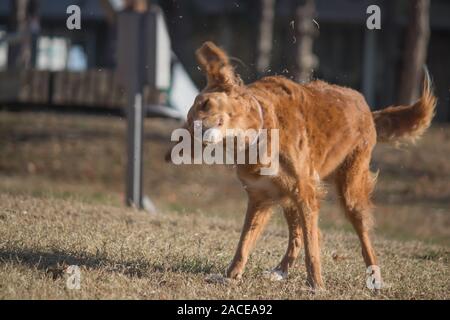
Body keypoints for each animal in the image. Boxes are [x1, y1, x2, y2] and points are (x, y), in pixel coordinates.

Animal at [169, 40, 436, 290]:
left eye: (206, 104)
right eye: (190, 123)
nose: (194, 132)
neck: (260, 131)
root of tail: (366, 107)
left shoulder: (304, 191)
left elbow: (311, 248)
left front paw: (317, 284)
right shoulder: (261, 197)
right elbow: (245, 242)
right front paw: (231, 276)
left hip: (350, 189)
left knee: (361, 235)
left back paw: (375, 278)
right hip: (289, 197)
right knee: (299, 235)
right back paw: (280, 270)